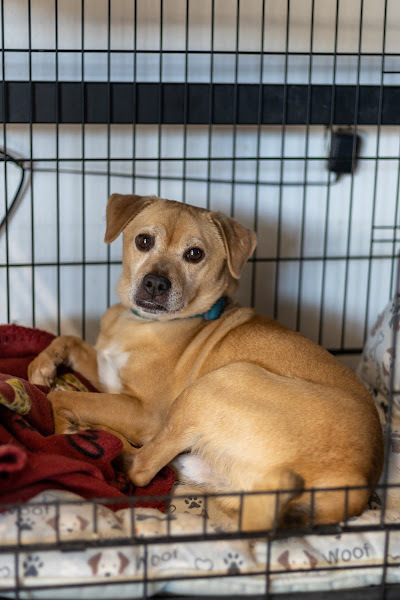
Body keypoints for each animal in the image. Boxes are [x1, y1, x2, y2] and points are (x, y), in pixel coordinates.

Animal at [28, 195, 384, 532]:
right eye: (143, 241)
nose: (155, 284)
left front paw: (63, 426)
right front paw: (41, 367)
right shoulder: (107, 373)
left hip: (216, 384)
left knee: (141, 468)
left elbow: (61, 397)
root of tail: (353, 487)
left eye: (195, 254)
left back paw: (94, 438)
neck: (141, 323)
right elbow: (68, 341)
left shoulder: (145, 412)